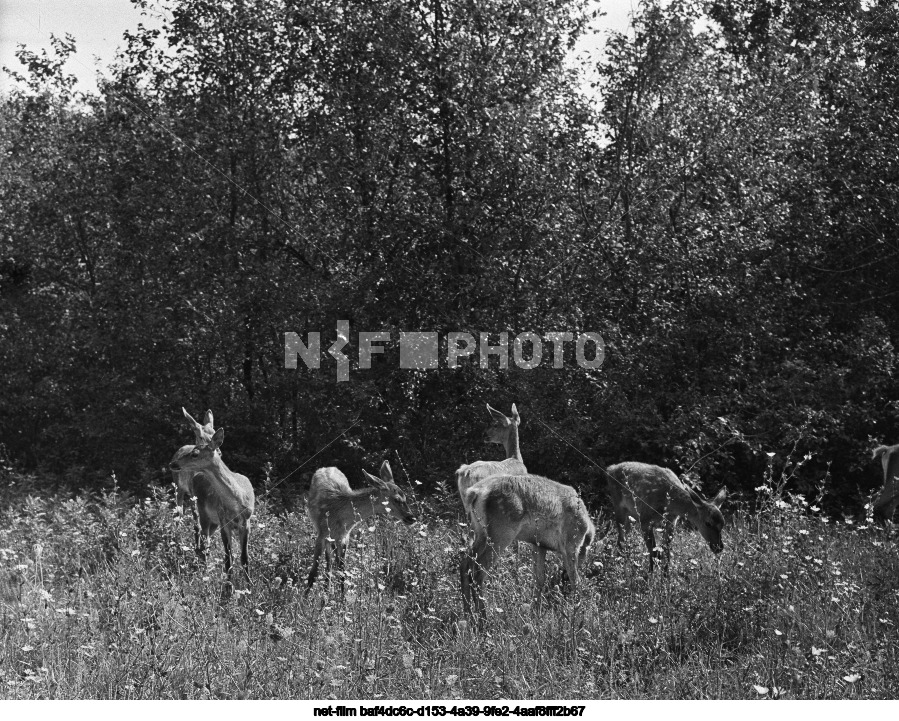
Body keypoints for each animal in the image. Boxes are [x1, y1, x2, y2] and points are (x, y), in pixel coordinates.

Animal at [169, 422, 255, 584]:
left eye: (195, 453)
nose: (172, 463)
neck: (237, 500)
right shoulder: (223, 521)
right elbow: (228, 559)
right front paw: (228, 586)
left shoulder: (246, 522)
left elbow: (244, 558)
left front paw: (249, 585)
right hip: (203, 512)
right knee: (202, 539)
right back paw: (202, 570)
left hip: (212, 521)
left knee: (204, 542)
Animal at [302, 458, 414, 592]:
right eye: (397, 499)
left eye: (405, 497)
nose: (412, 517)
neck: (339, 514)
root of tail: (326, 467)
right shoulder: (322, 533)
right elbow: (313, 575)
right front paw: (304, 597)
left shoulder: (345, 536)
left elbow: (342, 571)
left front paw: (342, 596)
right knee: (328, 560)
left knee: (332, 560)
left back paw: (327, 586)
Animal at [460, 472, 596, 620]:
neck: (586, 530)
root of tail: (474, 493)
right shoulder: (570, 545)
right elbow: (576, 581)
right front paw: (579, 614)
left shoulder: (539, 545)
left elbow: (539, 578)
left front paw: (536, 613)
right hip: (501, 533)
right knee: (478, 571)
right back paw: (483, 619)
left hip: (479, 531)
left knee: (465, 564)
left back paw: (468, 615)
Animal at [600, 462, 728, 572]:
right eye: (708, 523)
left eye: (723, 523)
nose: (719, 547)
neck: (668, 502)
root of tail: (609, 469)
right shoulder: (645, 518)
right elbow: (653, 551)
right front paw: (650, 577)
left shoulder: (671, 521)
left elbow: (666, 553)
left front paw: (666, 578)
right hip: (618, 505)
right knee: (621, 538)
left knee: (624, 536)